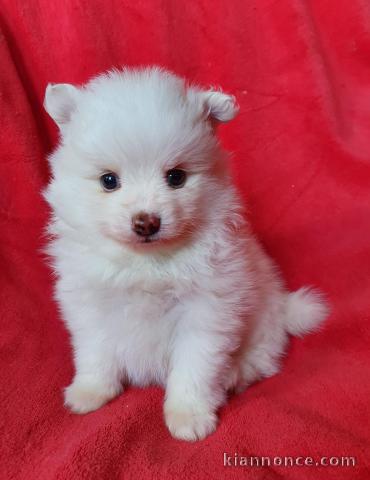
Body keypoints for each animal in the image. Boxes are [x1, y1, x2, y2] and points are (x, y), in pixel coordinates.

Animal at [42, 67, 326, 442]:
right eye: (108, 181)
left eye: (176, 177)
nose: (146, 221)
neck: (147, 261)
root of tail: (284, 309)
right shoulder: (89, 304)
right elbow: (95, 351)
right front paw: (90, 392)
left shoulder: (207, 311)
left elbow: (195, 366)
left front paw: (189, 415)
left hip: (262, 326)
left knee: (258, 359)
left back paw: (233, 374)